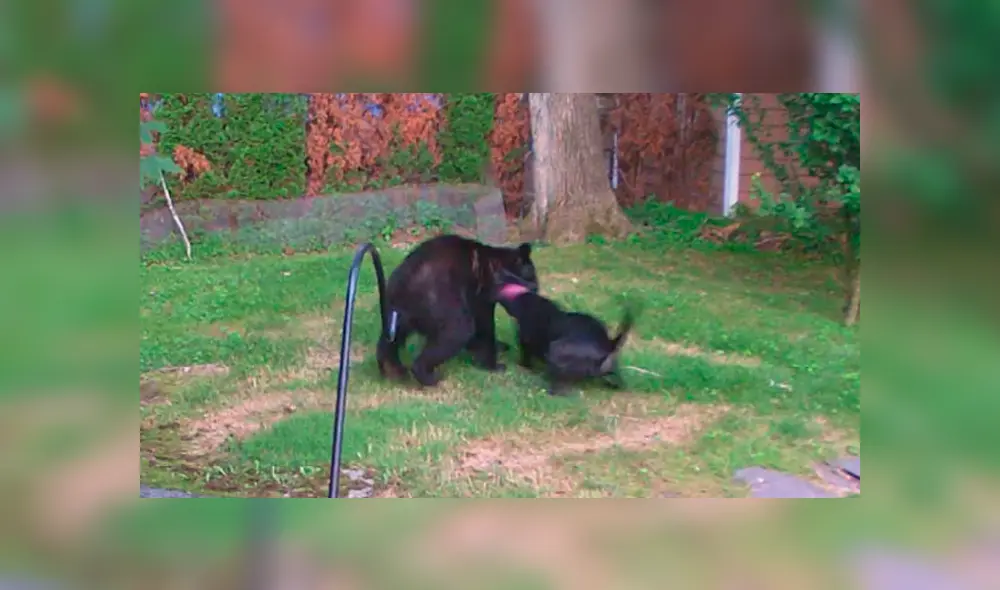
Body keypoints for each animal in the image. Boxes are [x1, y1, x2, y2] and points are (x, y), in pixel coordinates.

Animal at [376, 234, 539, 387]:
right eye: (532, 275)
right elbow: (484, 325)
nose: (536, 288)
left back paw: (391, 369)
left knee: (391, 338)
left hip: (397, 313)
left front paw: (497, 346)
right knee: (457, 331)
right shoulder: (481, 293)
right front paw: (494, 365)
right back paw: (427, 376)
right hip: (440, 298)